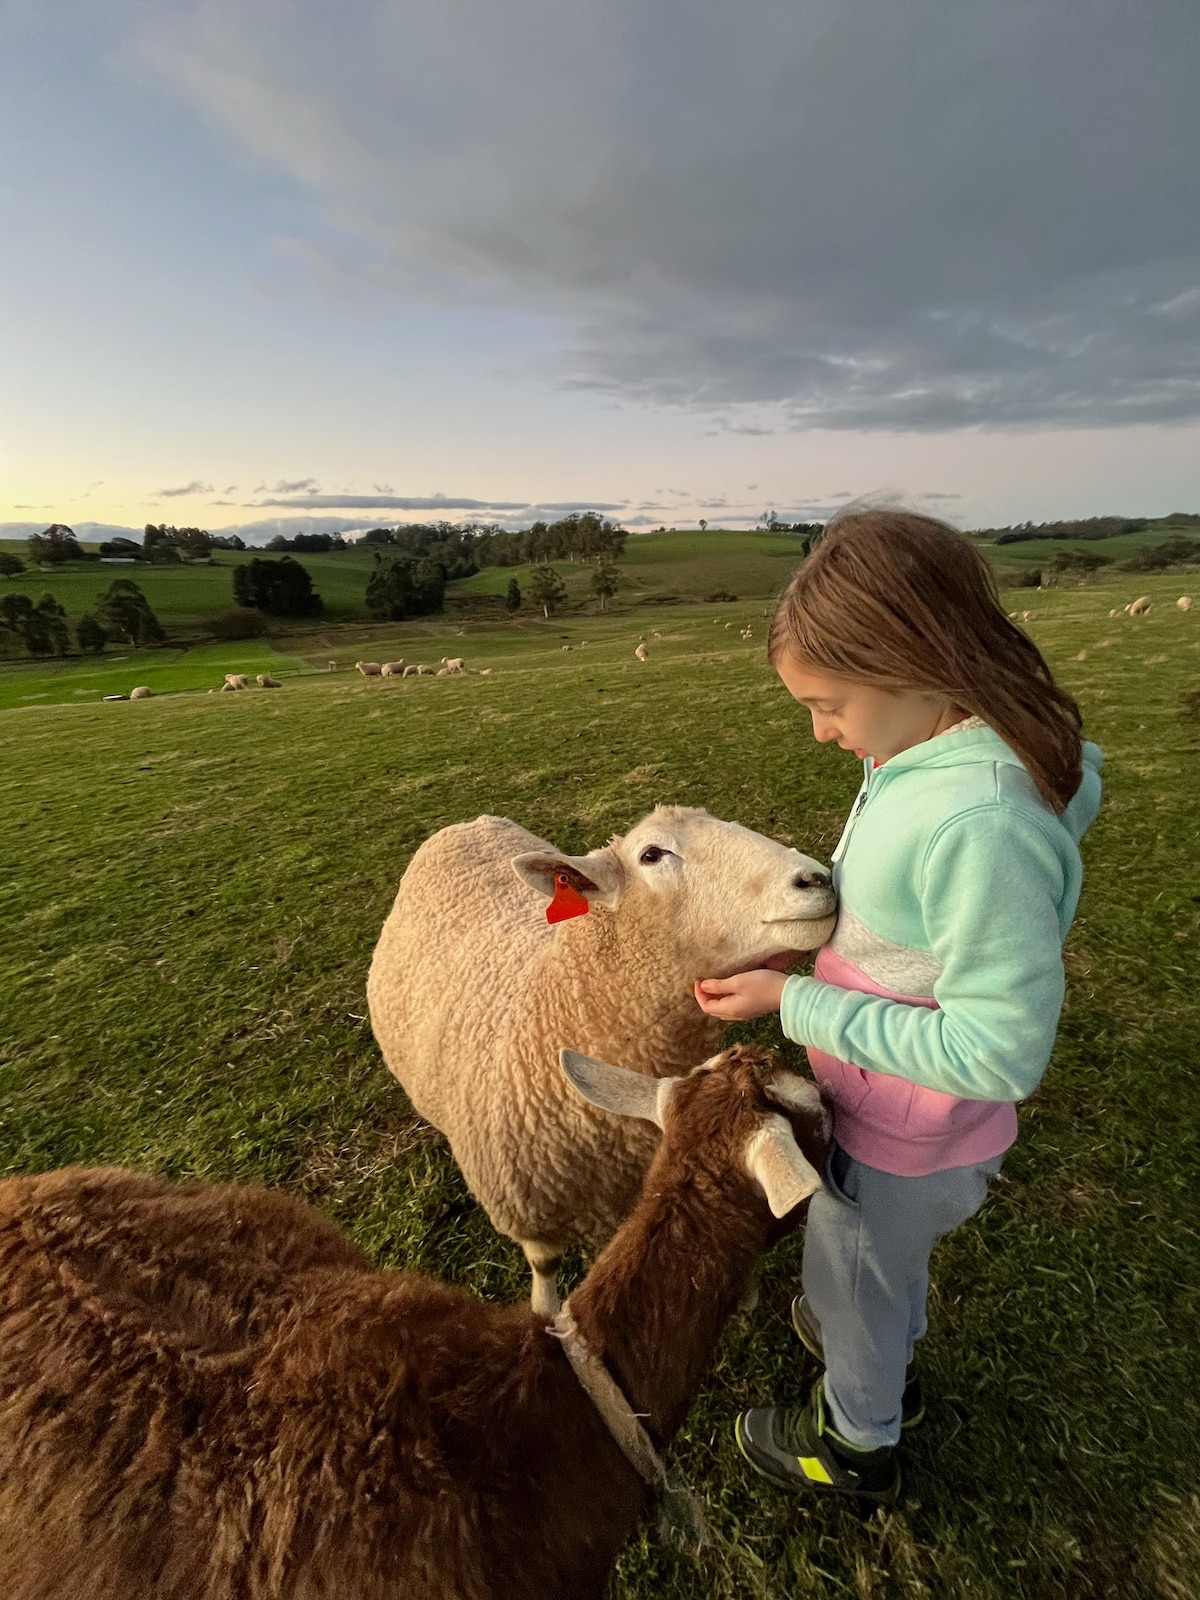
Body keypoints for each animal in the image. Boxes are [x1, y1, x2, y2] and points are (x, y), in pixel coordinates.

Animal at [366, 806, 838, 1305]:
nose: (815, 879)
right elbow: (544, 1265)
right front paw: (544, 1307)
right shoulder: (531, 1213)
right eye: (652, 854)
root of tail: (471, 822)